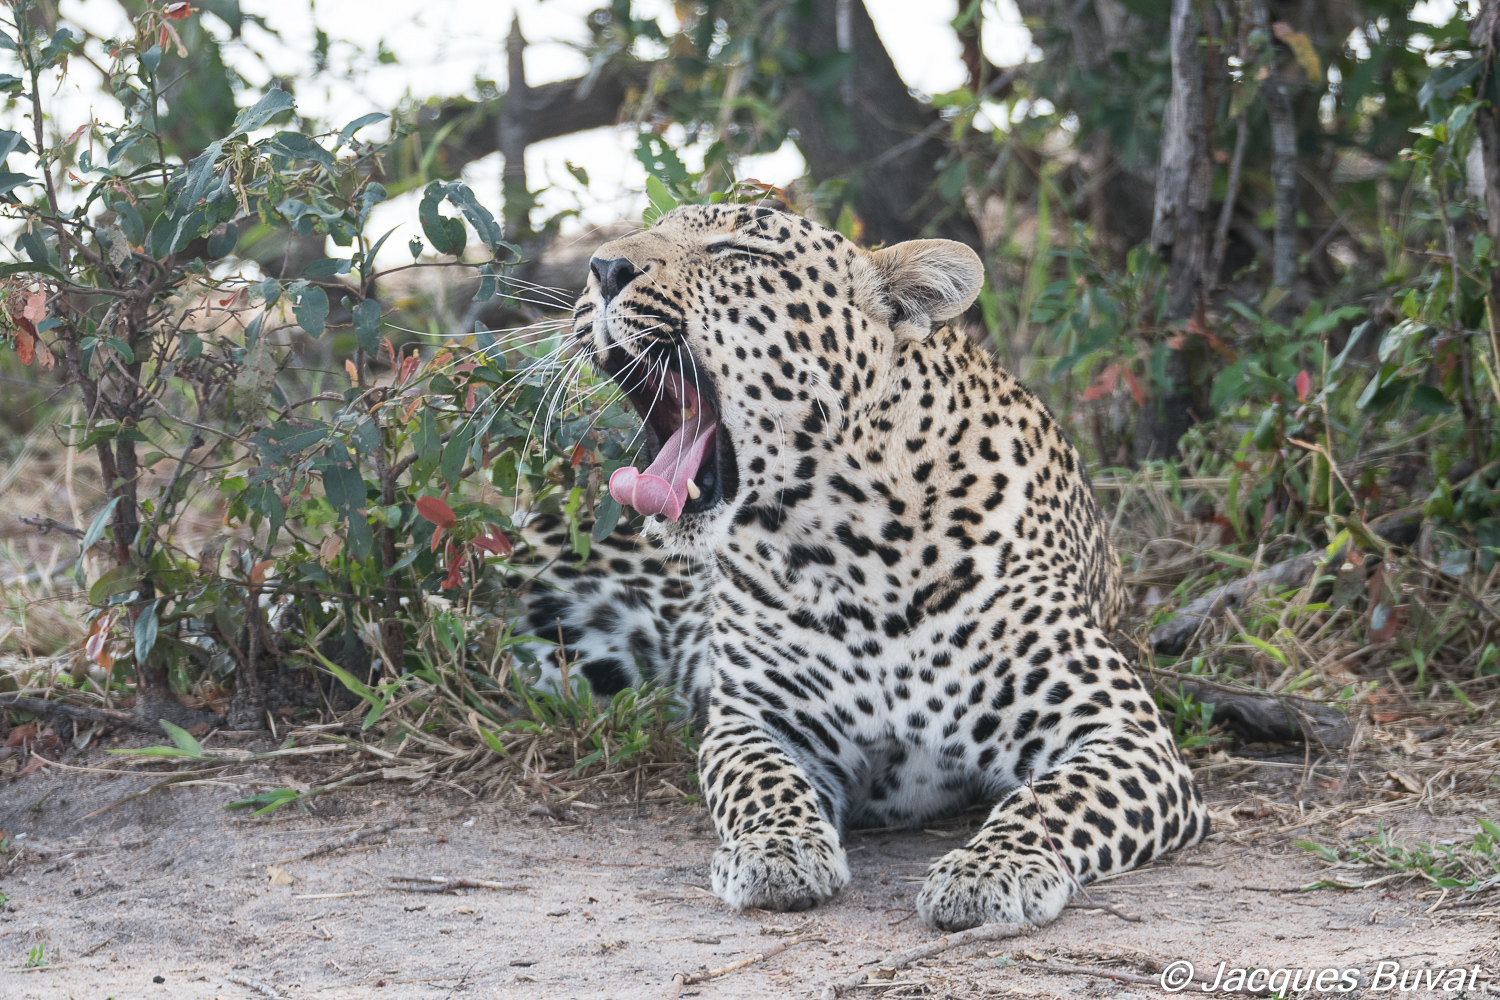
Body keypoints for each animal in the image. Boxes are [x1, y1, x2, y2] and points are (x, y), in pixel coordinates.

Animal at [506, 204, 1208, 930]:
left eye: (738, 251)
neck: (848, 553)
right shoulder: (755, 720)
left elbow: (1053, 799)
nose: (602, 268)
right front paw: (778, 850)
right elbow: (762, 781)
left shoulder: (1125, 732)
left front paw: (991, 869)